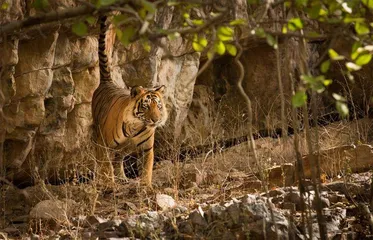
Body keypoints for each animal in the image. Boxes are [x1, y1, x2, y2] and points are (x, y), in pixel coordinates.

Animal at [91, 15, 167, 188]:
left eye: (159, 106)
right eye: (146, 107)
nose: (156, 120)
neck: (136, 126)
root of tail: (107, 82)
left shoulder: (146, 148)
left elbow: (146, 167)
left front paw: (146, 186)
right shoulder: (104, 144)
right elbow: (105, 166)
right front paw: (108, 185)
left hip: (126, 147)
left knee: (118, 158)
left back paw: (122, 178)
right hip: (99, 137)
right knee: (101, 161)